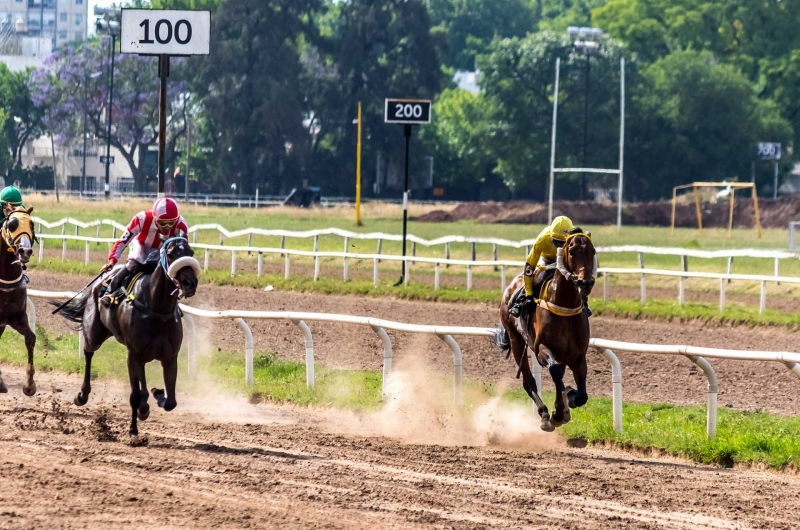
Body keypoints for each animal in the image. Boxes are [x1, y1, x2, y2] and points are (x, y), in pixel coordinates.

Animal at [54, 235, 200, 442]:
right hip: (95, 332)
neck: (157, 310)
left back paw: (146, 403)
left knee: (143, 373)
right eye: (171, 254)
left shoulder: (170, 357)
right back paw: (82, 395)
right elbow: (134, 395)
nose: (190, 283)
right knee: (89, 352)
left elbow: (171, 401)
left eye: (191, 252)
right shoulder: (133, 354)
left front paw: (157, 394)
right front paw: (133, 431)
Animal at [490, 230, 596, 428]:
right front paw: (558, 412)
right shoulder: (542, 349)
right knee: (528, 381)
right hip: (516, 340)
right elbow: (555, 371)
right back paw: (545, 413)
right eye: (572, 251)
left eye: (592, 251)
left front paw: (570, 397)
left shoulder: (578, 355)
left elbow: (582, 395)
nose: (585, 283)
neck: (565, 306)